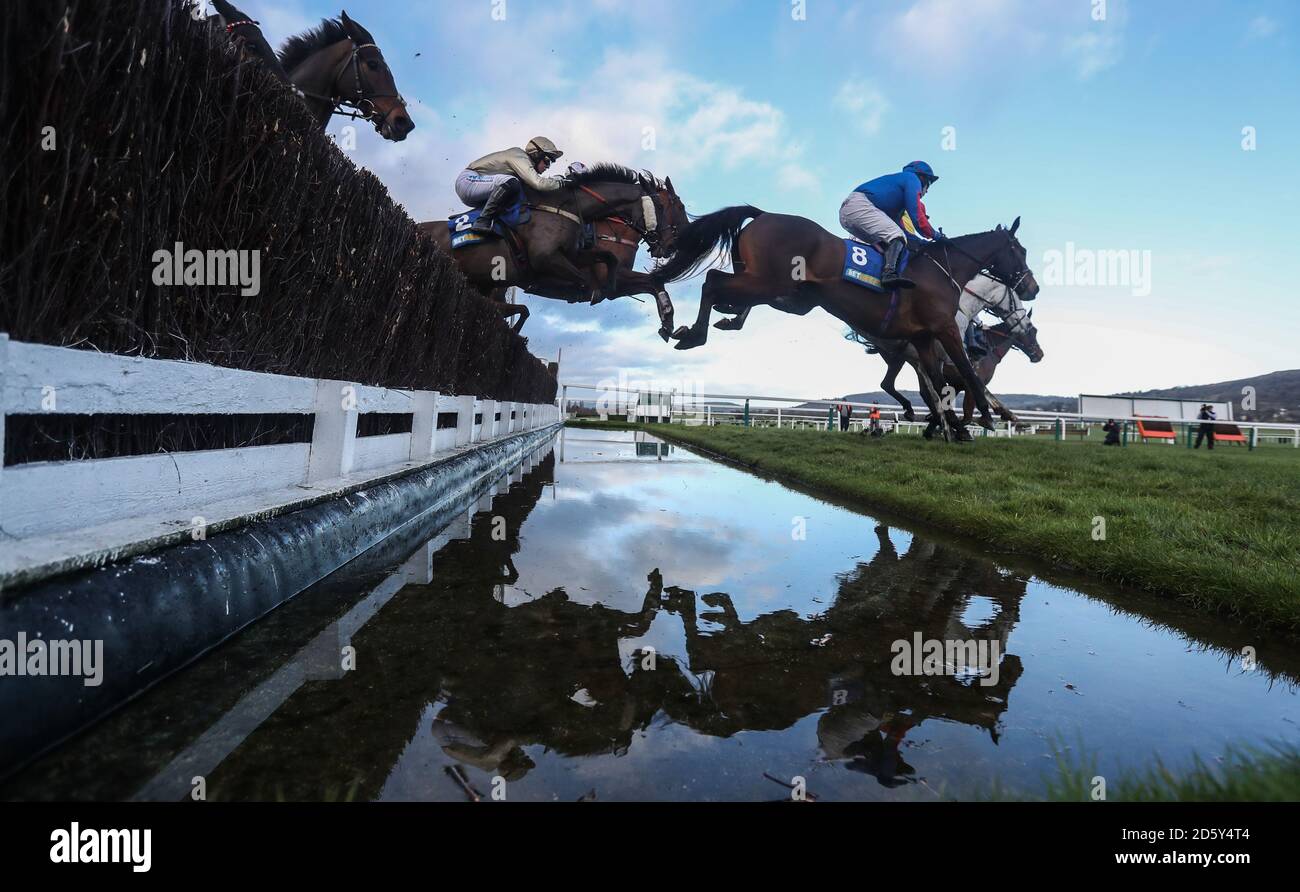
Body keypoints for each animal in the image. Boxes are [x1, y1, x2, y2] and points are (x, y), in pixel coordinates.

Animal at [655, 206, 1040, 436]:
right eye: (1020, 251)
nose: (1033, 287)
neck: (943, 272)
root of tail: (764, 213)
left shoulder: (923, 340)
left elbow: (938, 384)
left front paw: (954, 428)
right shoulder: (944, 331)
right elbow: (967, 375)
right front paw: (984, 418)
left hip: (780, 290)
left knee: (726, 290)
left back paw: (715, 323)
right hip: (770, 282)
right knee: (712, 282)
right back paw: (693, 333)